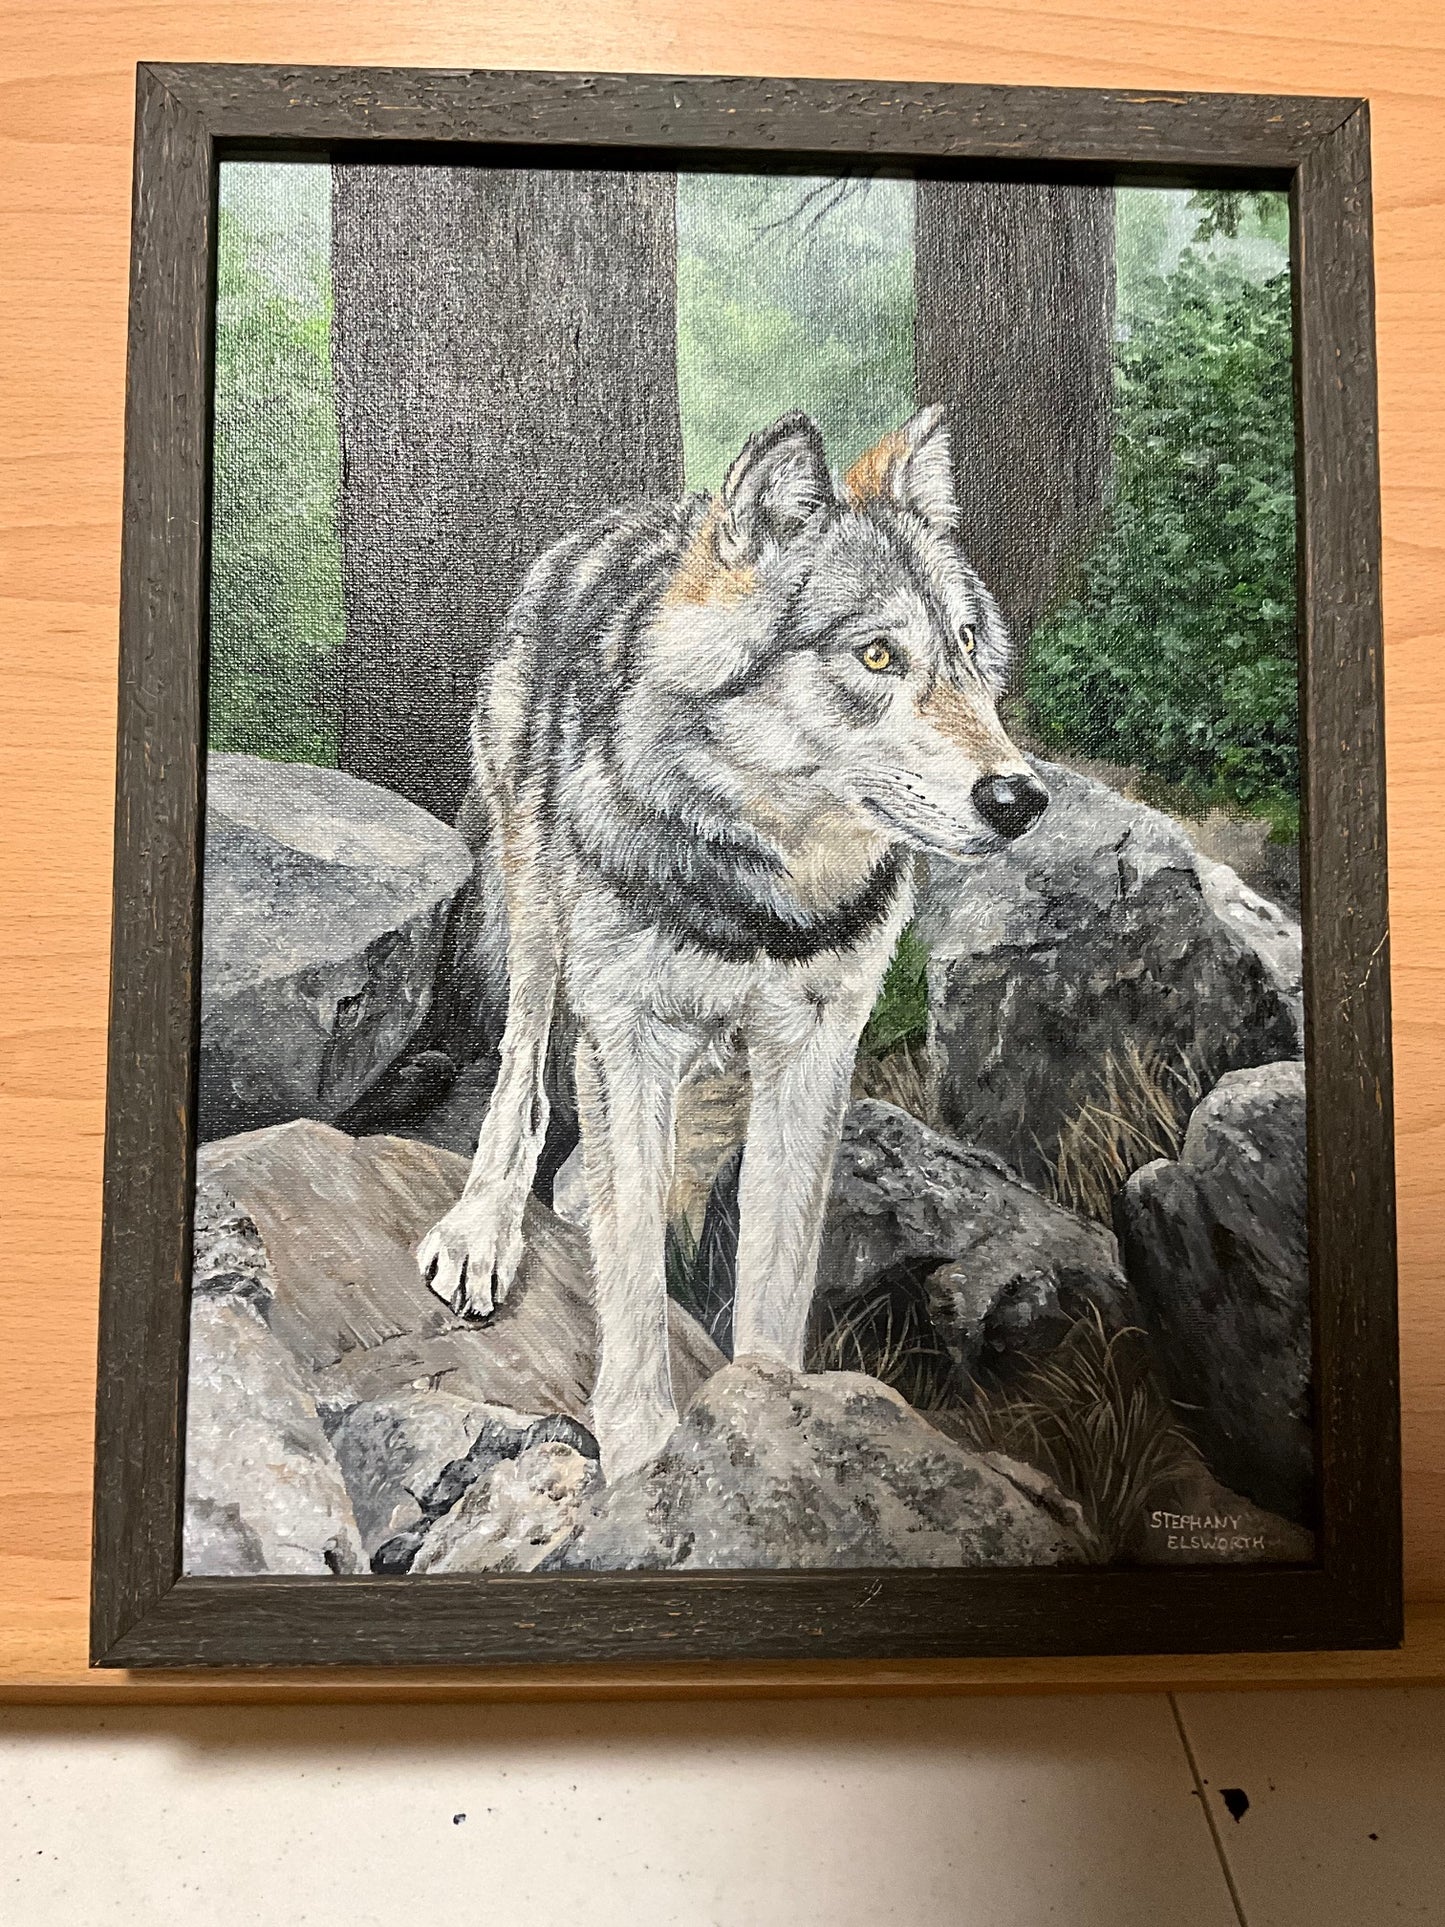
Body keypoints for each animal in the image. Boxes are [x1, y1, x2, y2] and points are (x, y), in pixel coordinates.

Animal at [417, 406, 1049, 1481]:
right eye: (876, 657)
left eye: (967, 645)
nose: (1021, 798)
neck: (763, 894)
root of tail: (620, 519)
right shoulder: (626, 1030)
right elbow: (631, 1271)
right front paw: (642, 1452)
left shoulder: (816, 1046)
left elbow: (774, 1262)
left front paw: (775, 1417)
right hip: (537, 915)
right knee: (522, 1076)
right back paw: (484, 1225)